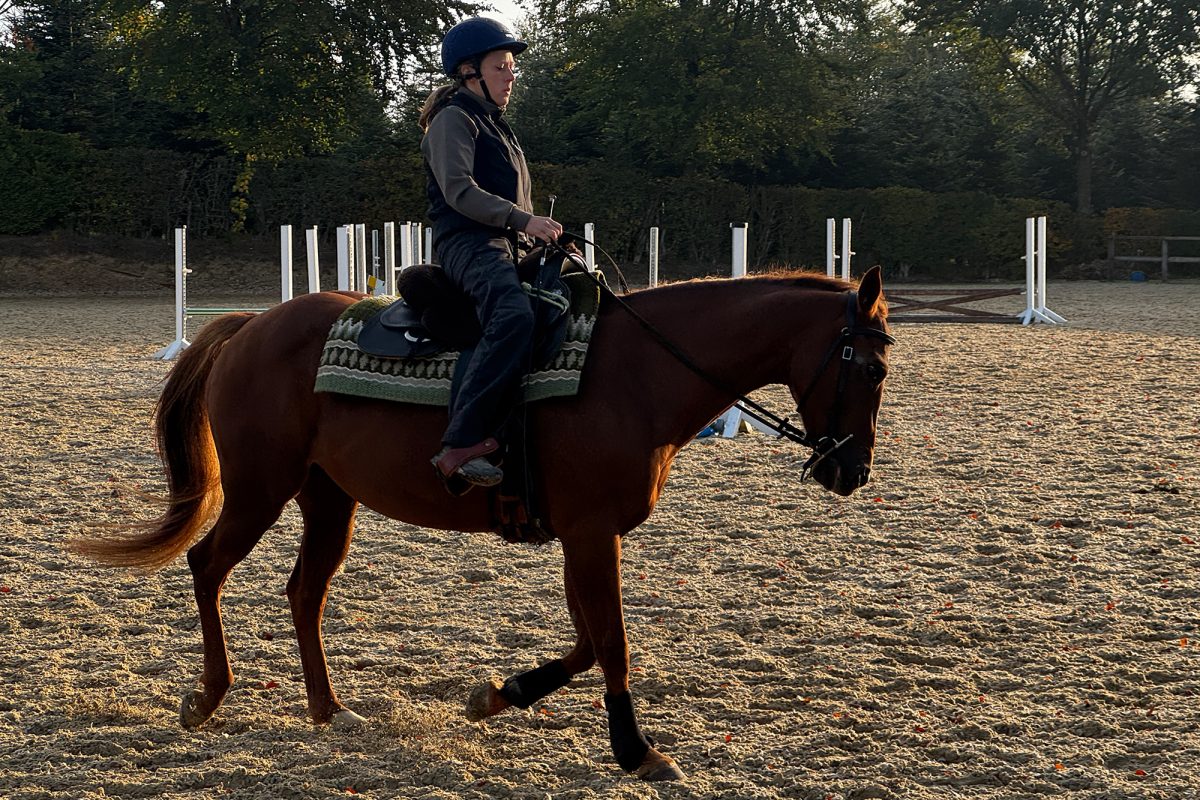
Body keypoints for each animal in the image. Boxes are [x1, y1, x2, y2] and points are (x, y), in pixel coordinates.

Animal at [73, 263, 895, 782]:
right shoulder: (591, 532)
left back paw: (329, 710)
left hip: (328, 499)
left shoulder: (580, 535)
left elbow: (586, 643)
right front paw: (636, 752)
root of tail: (250, 327)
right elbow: (613, 645)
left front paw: (500, 694)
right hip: (256, 490)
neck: (635, 375)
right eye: (870, 367)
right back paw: (208, 696)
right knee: (207, 566)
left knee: (304, 592)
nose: (850, 471)